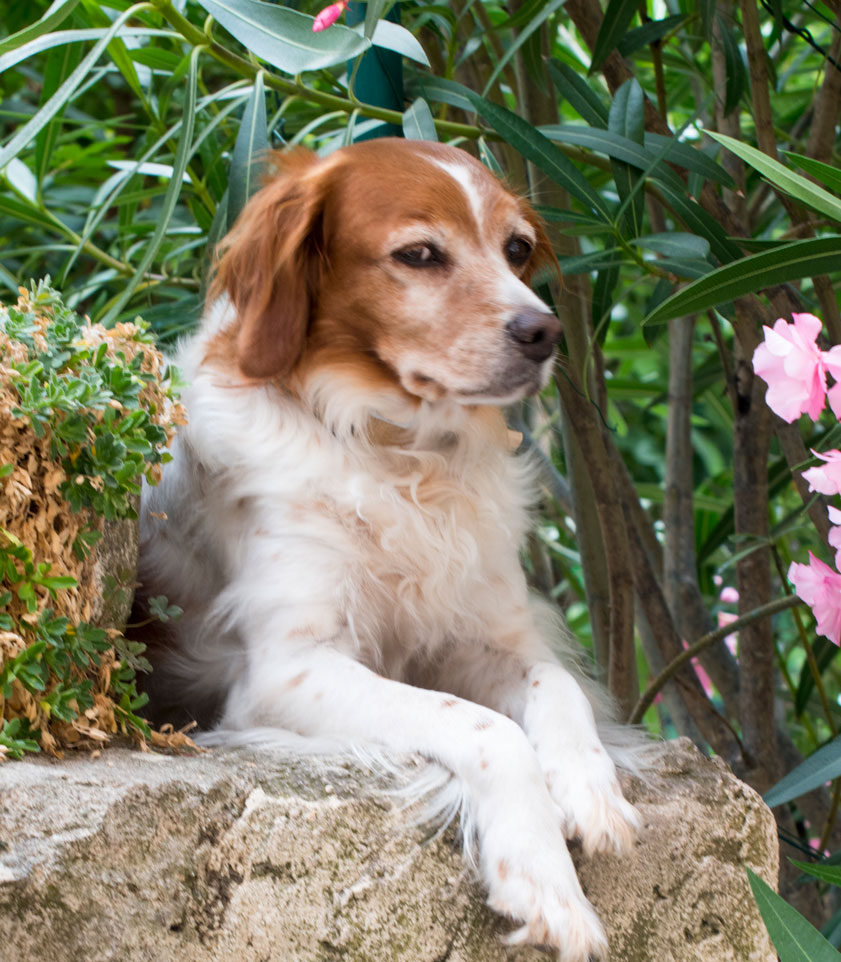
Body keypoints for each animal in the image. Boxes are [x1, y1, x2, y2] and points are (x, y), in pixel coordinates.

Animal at [136, 137, 636, 960]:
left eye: (516, 248)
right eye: (419, 254)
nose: (544, 332)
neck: (399, 453)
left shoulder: (485, 638)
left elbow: (555, 686)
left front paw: (591, 788)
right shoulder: (286, 669)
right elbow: (487, 729)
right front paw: (545, 880)